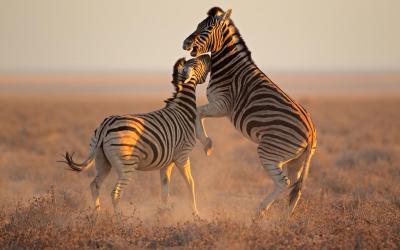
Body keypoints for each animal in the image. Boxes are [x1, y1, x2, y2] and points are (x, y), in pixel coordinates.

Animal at [61, 54, 211, 217]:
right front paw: (195, 213)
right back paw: (119, 218)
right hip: (127, 165)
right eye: (197, 63)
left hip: (102, 161)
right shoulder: (182, 155)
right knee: (115, 192)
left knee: (95, 185)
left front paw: (164, 213)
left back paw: (98, 215)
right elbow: (190, 183)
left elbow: (165, 188)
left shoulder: (167, 162)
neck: (183, 110)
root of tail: (105, 126)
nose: (208, 56)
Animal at [183, 7, 318, 215]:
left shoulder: (223, 104)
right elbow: (198, 113)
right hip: (296, 160)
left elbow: (198, 112)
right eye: (198, 25)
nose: (186, 43)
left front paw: (207, 144)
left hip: (270, 151)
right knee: (296, 188)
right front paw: (207, 144)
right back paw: (285, 219)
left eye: (209, 28)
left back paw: (260, 211)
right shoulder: (219, 105)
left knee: (284, 183)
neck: (229, 68)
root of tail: (311, 131)